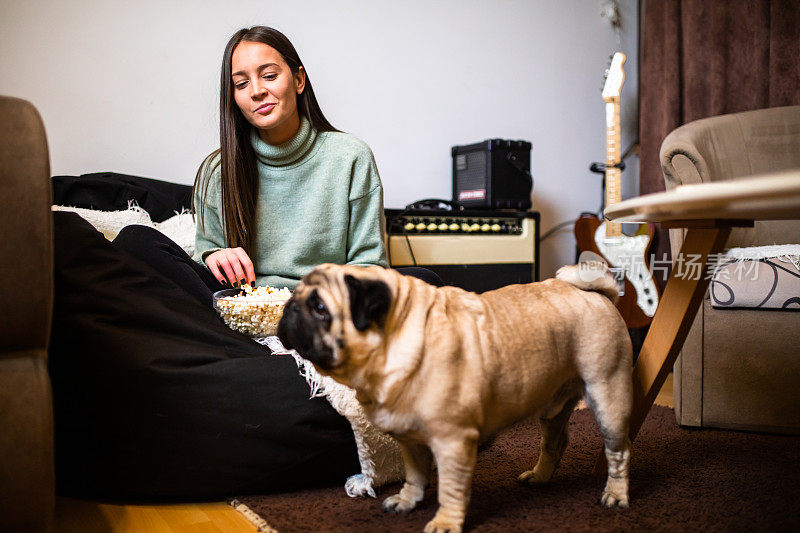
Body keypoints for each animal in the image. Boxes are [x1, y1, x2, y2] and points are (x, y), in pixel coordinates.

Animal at [278, 262, 636, 532]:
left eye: (320, 309)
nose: (289, 308)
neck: (399, 335)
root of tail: (594, 294)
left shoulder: (453, 443)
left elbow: (450, 489)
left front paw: (446, 522)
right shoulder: (411, 441)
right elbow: (415, 475)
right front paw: (408, 500)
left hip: (608, 397)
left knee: (618, 451)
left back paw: (615, 495)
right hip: (552, 406)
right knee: (555, 442)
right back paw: (540, 476)